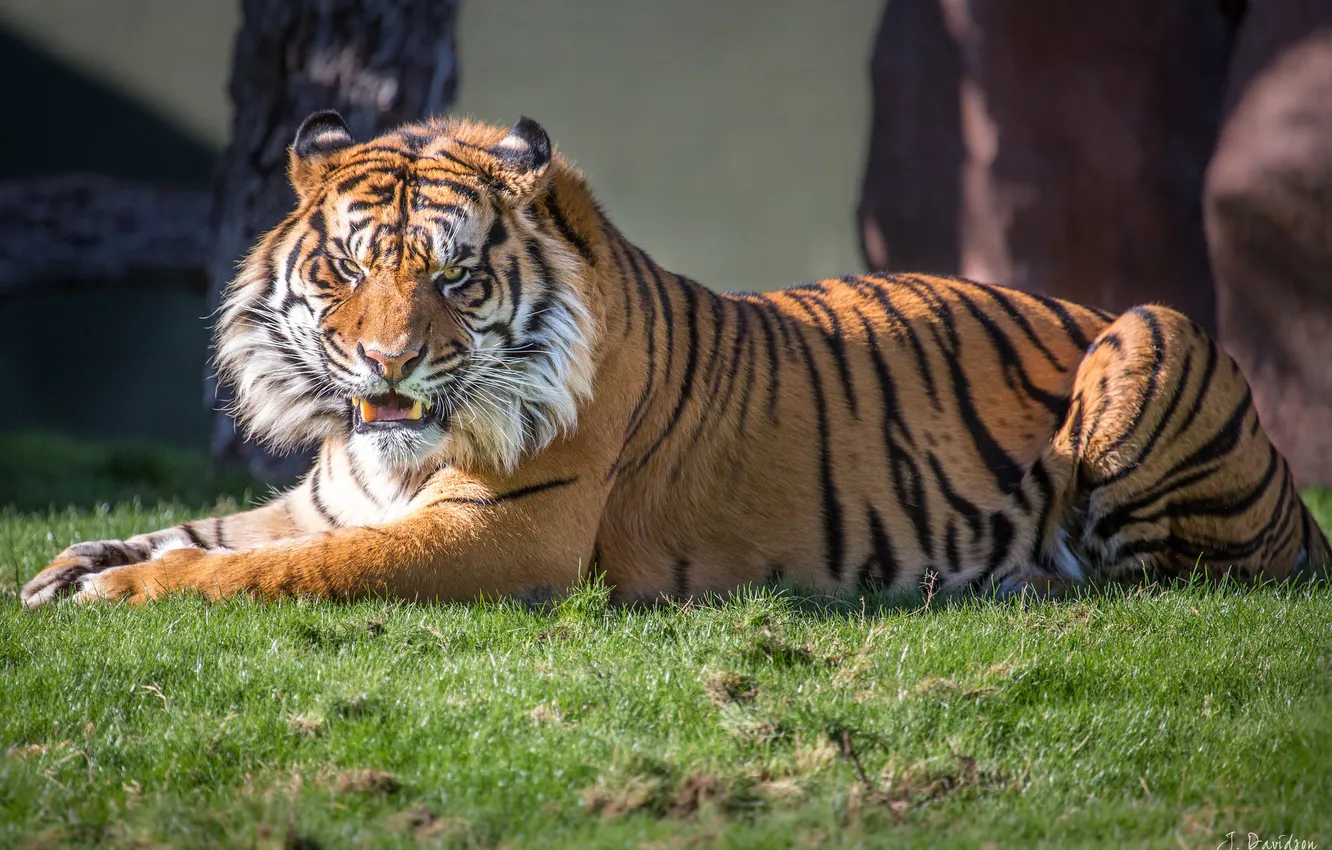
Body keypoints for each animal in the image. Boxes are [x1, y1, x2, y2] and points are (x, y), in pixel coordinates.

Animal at [20, 112, 1329, 609]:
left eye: (454, 276)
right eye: (344, 271)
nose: (386, 364)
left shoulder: (508, 533)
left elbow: (289, 569)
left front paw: (122, 590)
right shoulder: (328, 493)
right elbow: (212, 529)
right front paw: (70, 563)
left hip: (1150, 331)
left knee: (1164, 575)